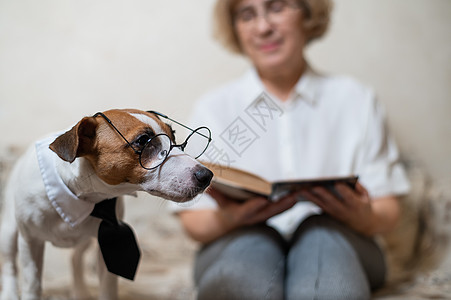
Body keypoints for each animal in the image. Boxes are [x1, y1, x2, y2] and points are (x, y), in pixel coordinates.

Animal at [0, 109, 214, 298]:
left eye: (174, 137)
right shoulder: (30, 242)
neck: (83, 194)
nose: (207, 175)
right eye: (143, 141)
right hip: (9, 233)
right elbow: (32, 285)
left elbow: (108, 288)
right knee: (10, 265)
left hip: (85, 240)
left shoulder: (106, 247)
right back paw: (10, 293)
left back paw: (80, 291)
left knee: (76, 258)